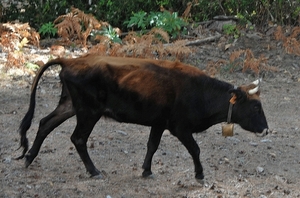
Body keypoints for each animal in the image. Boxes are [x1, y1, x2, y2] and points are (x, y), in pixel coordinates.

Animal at [17, 53, 270, 183]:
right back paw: (94, 170)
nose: (266, 129)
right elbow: (195, 149)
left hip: (70, 105)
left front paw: (146, 170)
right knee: (78, 138)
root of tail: (71, 60)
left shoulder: (159, 123)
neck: (200, 91)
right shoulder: (180, 127)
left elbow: (152, 146)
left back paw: (29, 158)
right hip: (89, 112)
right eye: (256, 107)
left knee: (44, 124)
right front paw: (199, 174)